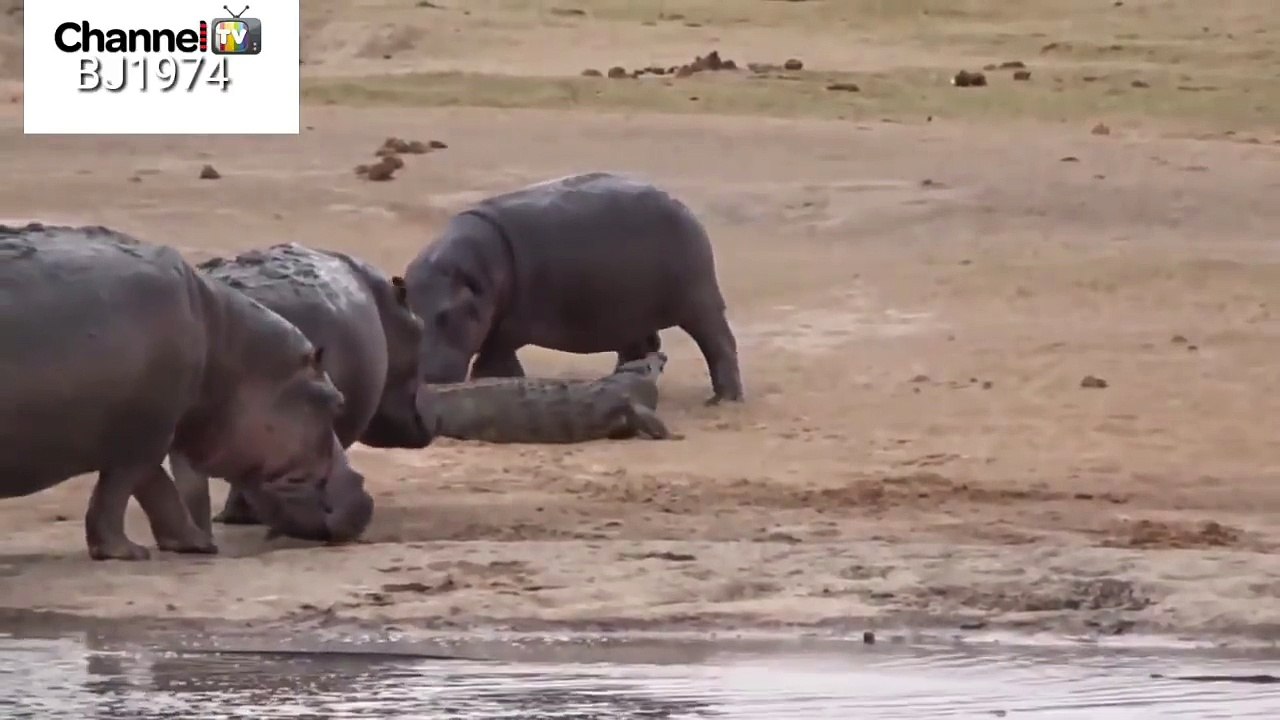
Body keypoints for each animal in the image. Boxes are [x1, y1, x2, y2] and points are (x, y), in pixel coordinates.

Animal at [0, 223, 373, 560]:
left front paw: (197, 545)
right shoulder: (142, 438)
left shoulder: (151, 434)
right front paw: (128, 553)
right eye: (334, 401)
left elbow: (159, 491)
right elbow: (117, 494)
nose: (365, 500)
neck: (231, 352)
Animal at [403, 172, 744, 404]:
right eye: (409, 315)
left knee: (719, 342)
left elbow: (493, 362)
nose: (427, 380)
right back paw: (621, 380)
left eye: (448, 316)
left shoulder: (508, 327)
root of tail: (681, 205)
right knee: (642, 346)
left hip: (698, 300)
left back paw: (722, 400)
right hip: (629, 313)